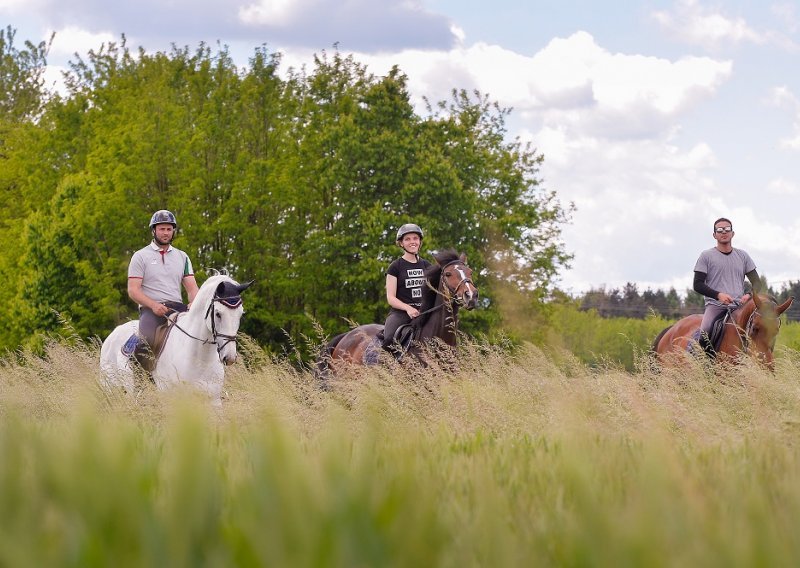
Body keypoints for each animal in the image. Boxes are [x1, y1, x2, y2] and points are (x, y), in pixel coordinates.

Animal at [99, 274, 253, 404]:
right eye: (218, 314)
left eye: (240, 314)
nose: (230, 357)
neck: (199, 358)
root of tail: (114, 333)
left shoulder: (213, 401)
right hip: (112, 388)